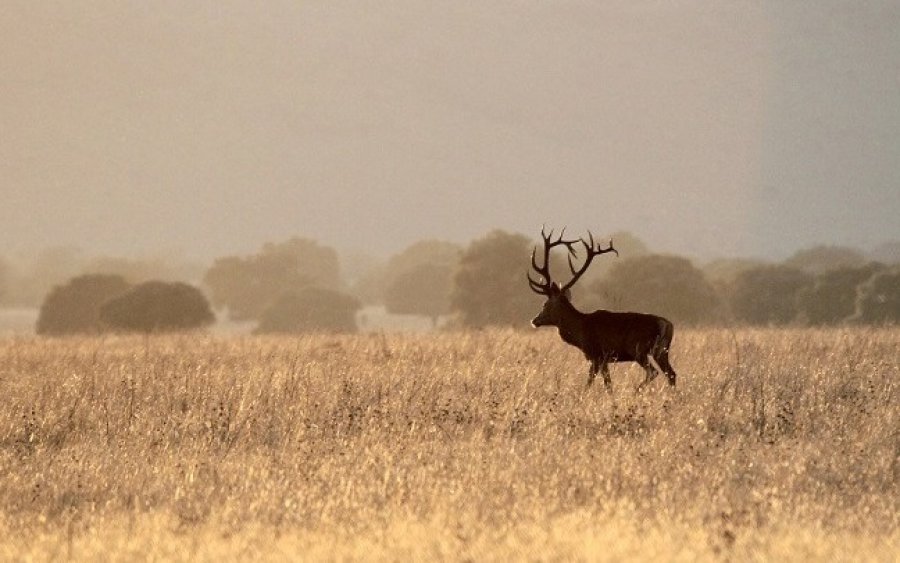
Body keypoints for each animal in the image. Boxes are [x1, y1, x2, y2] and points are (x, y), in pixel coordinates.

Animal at [528, 226, 676, 392]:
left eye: (545, 304)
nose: (534, 320)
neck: (580, 331)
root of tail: (666, 325)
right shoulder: (604, 358)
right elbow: (608, 383)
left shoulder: (597, 354)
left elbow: (591, 382)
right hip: (662, 351)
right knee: (671, 374)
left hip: (639, 350)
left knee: (653, 372)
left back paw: (635, 391)